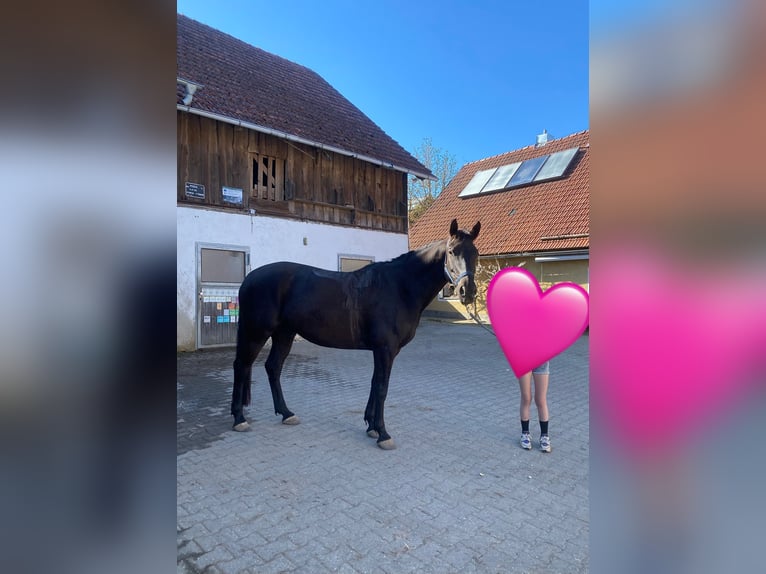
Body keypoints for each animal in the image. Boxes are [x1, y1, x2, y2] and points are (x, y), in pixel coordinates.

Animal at [231, 218, 481, 449]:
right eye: (452, 251)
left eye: (476, 253)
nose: (467, 291)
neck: (399, 286)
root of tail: (249, 279)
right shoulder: (385, 349)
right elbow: (381, 388)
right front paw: (383, 434)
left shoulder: (383, 351)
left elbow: (374, 383)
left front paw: (371, 426)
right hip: (256, 332)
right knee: (242, 366)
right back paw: (239, 419)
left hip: (284, 333)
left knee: (273, 367)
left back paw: (286, 413)